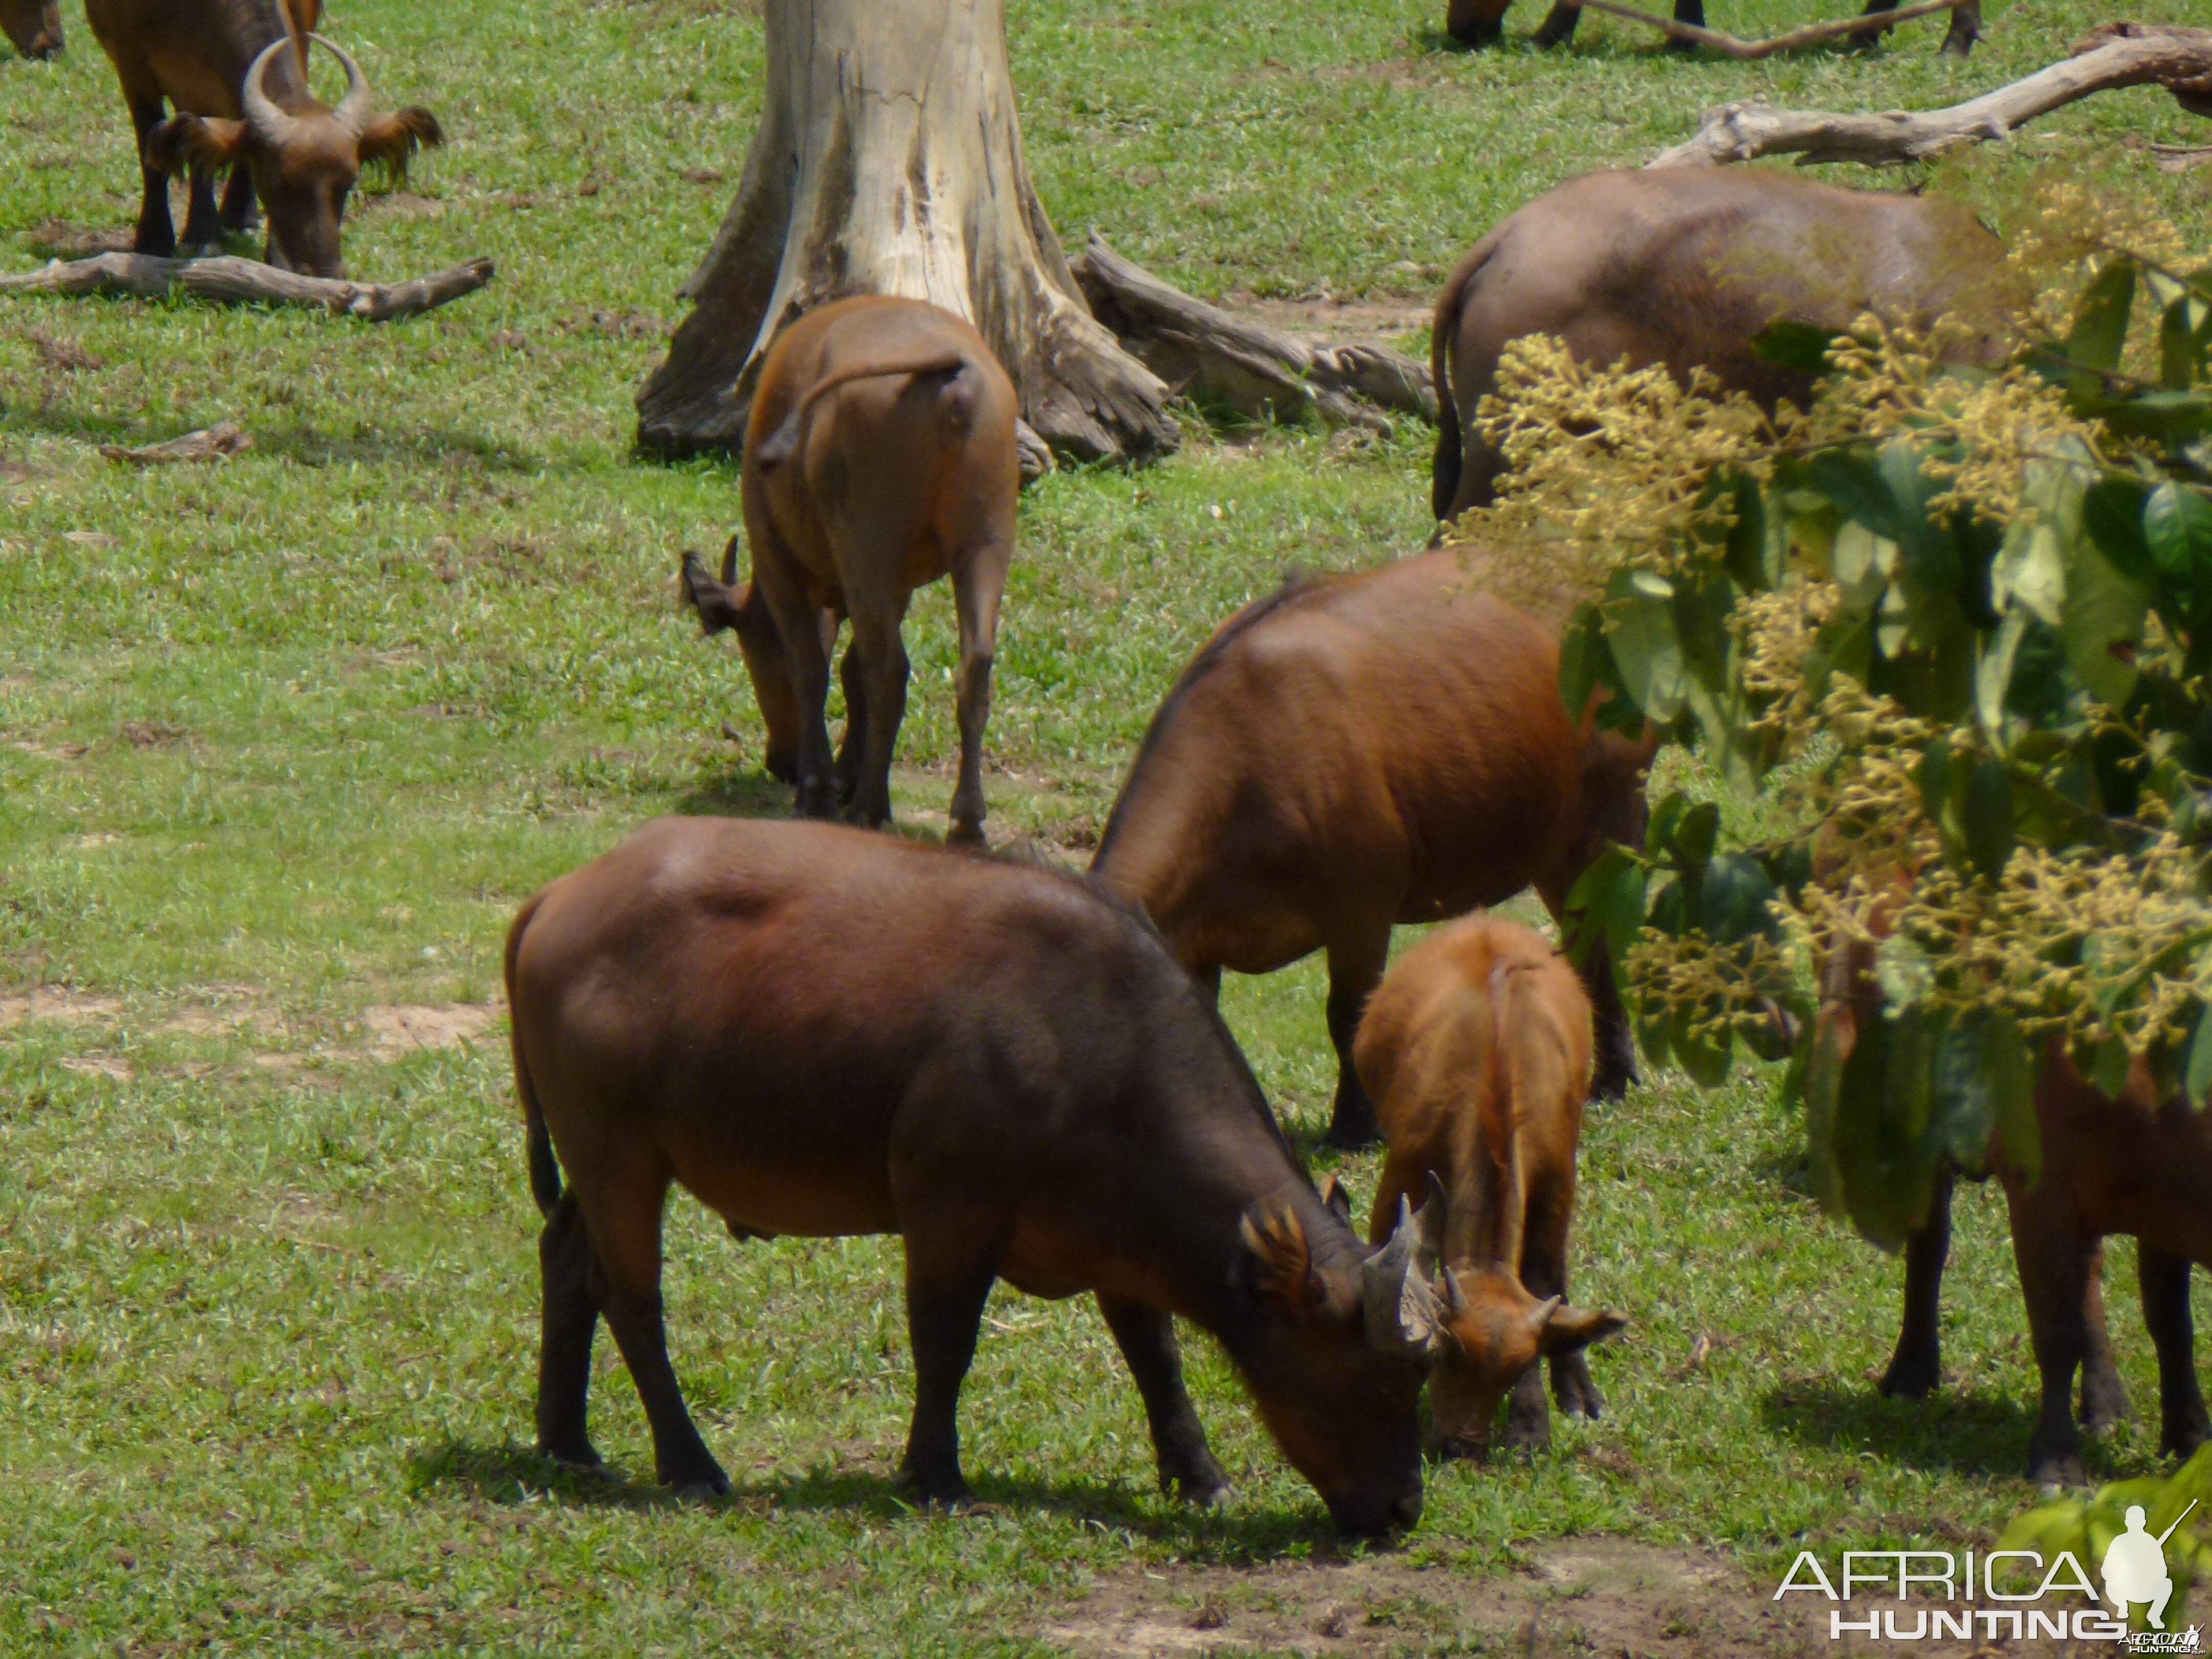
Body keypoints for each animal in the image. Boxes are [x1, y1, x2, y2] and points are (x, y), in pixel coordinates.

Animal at [86, 0, 440, 276]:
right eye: (280, 182)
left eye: (349, 182)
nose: (323, 271)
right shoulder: (133, 68)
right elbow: (157, 151)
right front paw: (163, 239)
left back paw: (239, 215)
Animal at [681, 294, 1017, 849]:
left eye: (752, 654)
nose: (781, 763)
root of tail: (949, 366)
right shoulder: (895, 587)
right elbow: (849, 671)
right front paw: (847, 773)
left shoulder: (778, 562)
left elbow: (812, 668)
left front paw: (820, 789)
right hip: (982, 546)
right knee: (974, 666)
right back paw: (966, 822)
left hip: (868, 549)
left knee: (891, 669)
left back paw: (869, 806)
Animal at [1088, 553, 1663, 1150]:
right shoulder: (1197, 948)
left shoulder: (1361, 906)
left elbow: (1349, 1015)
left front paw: (1354, 1128)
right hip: (1552, 849)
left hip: (1609, 819)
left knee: (1604, 942)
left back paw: (1613, 1080)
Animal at [1345, 916, 1628, 1460]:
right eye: (1447, 1355)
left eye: (1515, 1371)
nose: (1461, 1445)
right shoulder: (1402, 1174)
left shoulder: (1557, 1179)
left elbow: (1547, 1279)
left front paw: (1539, 1416)